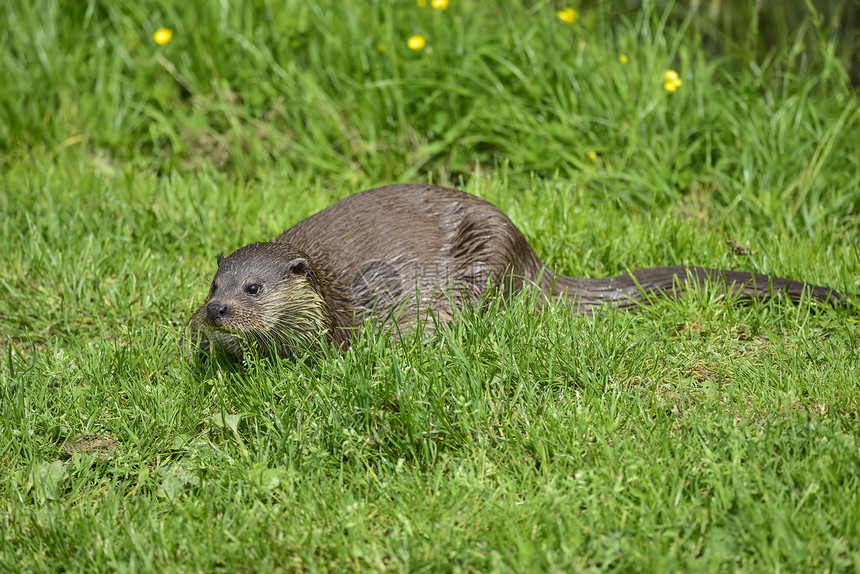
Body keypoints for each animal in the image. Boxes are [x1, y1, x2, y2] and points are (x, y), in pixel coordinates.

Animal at [186, 186, 840, 360]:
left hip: (487, 262)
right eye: (214, 284)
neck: (325, 294)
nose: (215, 312)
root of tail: (529, 255)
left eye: (253, 288)